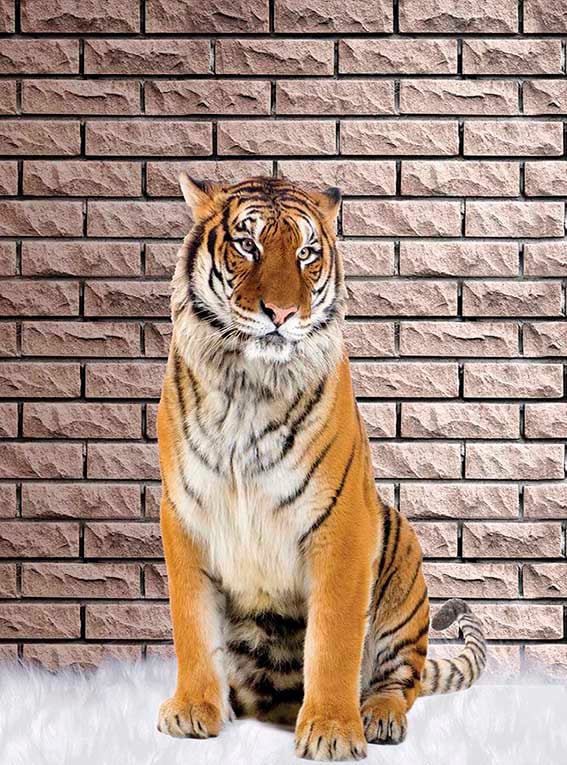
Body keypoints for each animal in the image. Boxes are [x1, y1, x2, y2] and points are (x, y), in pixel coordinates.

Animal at [156, 174, 487, 761]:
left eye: (307, 253)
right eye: (248, 245)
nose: (282, 314)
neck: (249, 386)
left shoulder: (342, 525)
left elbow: (332, 639)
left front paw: (332, 729)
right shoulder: (186, 517)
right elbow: (192, 624)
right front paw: (194, 710)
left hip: (401, 556)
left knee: (400, 679)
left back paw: (377, 717)